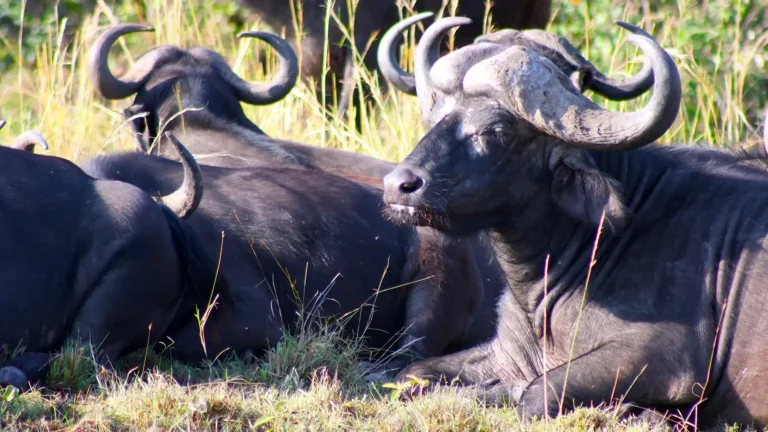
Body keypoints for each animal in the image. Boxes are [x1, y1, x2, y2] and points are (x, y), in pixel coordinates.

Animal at [384, 17, 768, 428]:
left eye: (497, 129)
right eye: (436, 117)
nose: (398, 185)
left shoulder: (670, 359)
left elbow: (536, 394)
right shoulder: (507, 355)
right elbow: (412, 373)